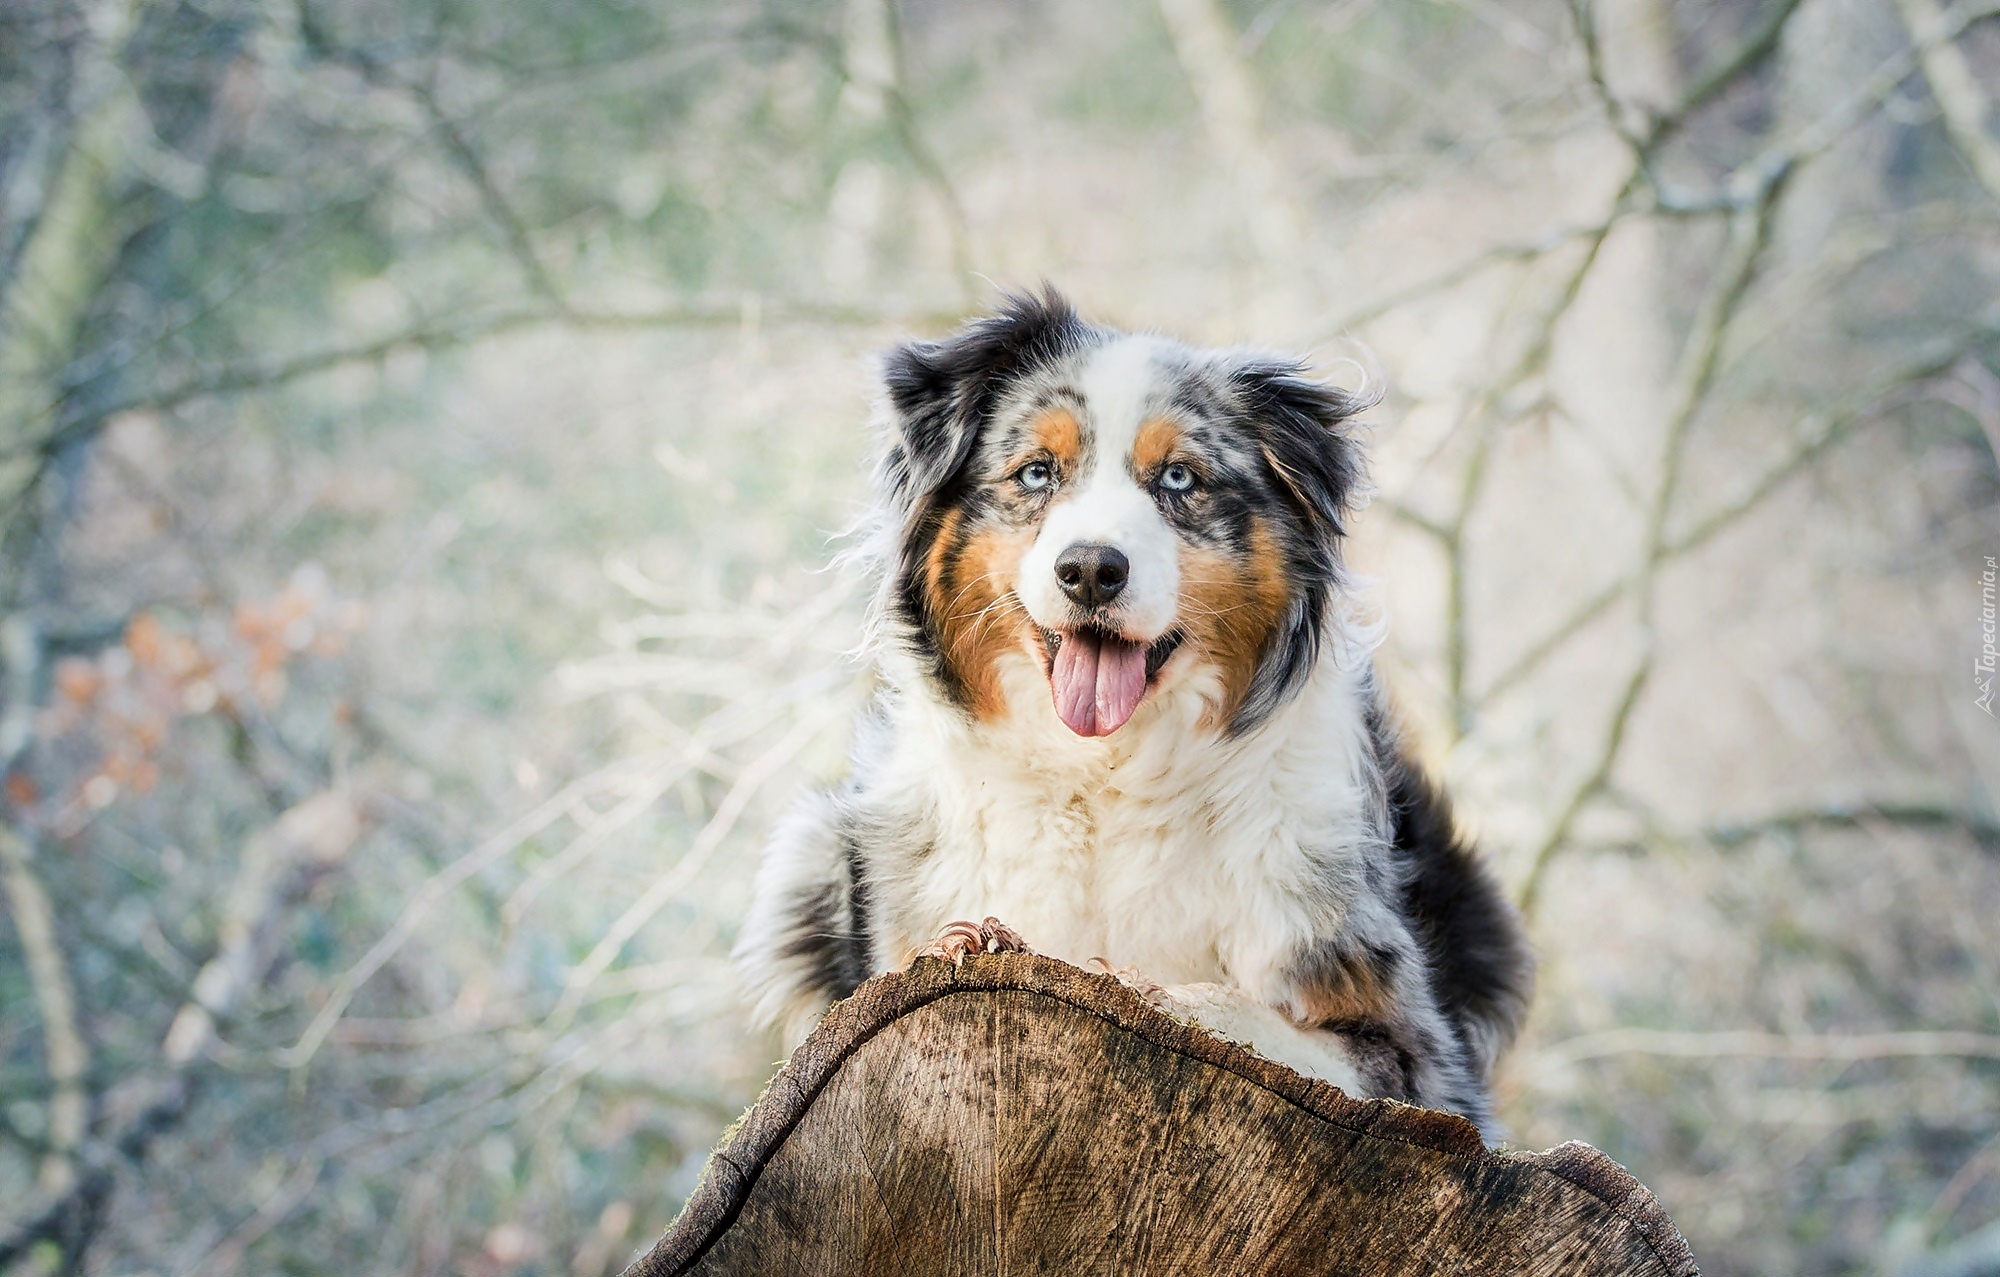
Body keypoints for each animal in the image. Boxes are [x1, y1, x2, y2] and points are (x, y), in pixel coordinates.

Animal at [736, 288, 1528, 1136]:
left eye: (1179, 477)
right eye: (1037, 471)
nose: (1089, 569)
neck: (1105, 778)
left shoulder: (1422, 1058)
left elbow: (1250, 1014)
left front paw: (1160, 990)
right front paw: (973, 940)